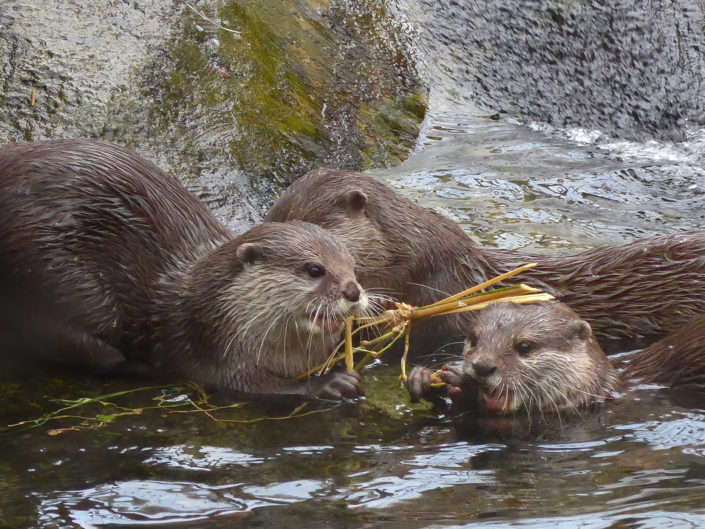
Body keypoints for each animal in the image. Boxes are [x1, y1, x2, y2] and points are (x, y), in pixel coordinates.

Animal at [1, 140, 368, 400]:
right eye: (314, 269)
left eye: (352, 265)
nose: (352, 292)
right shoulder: (217, 349)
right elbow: (253, 387)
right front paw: (330, 382)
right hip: (54, 279)